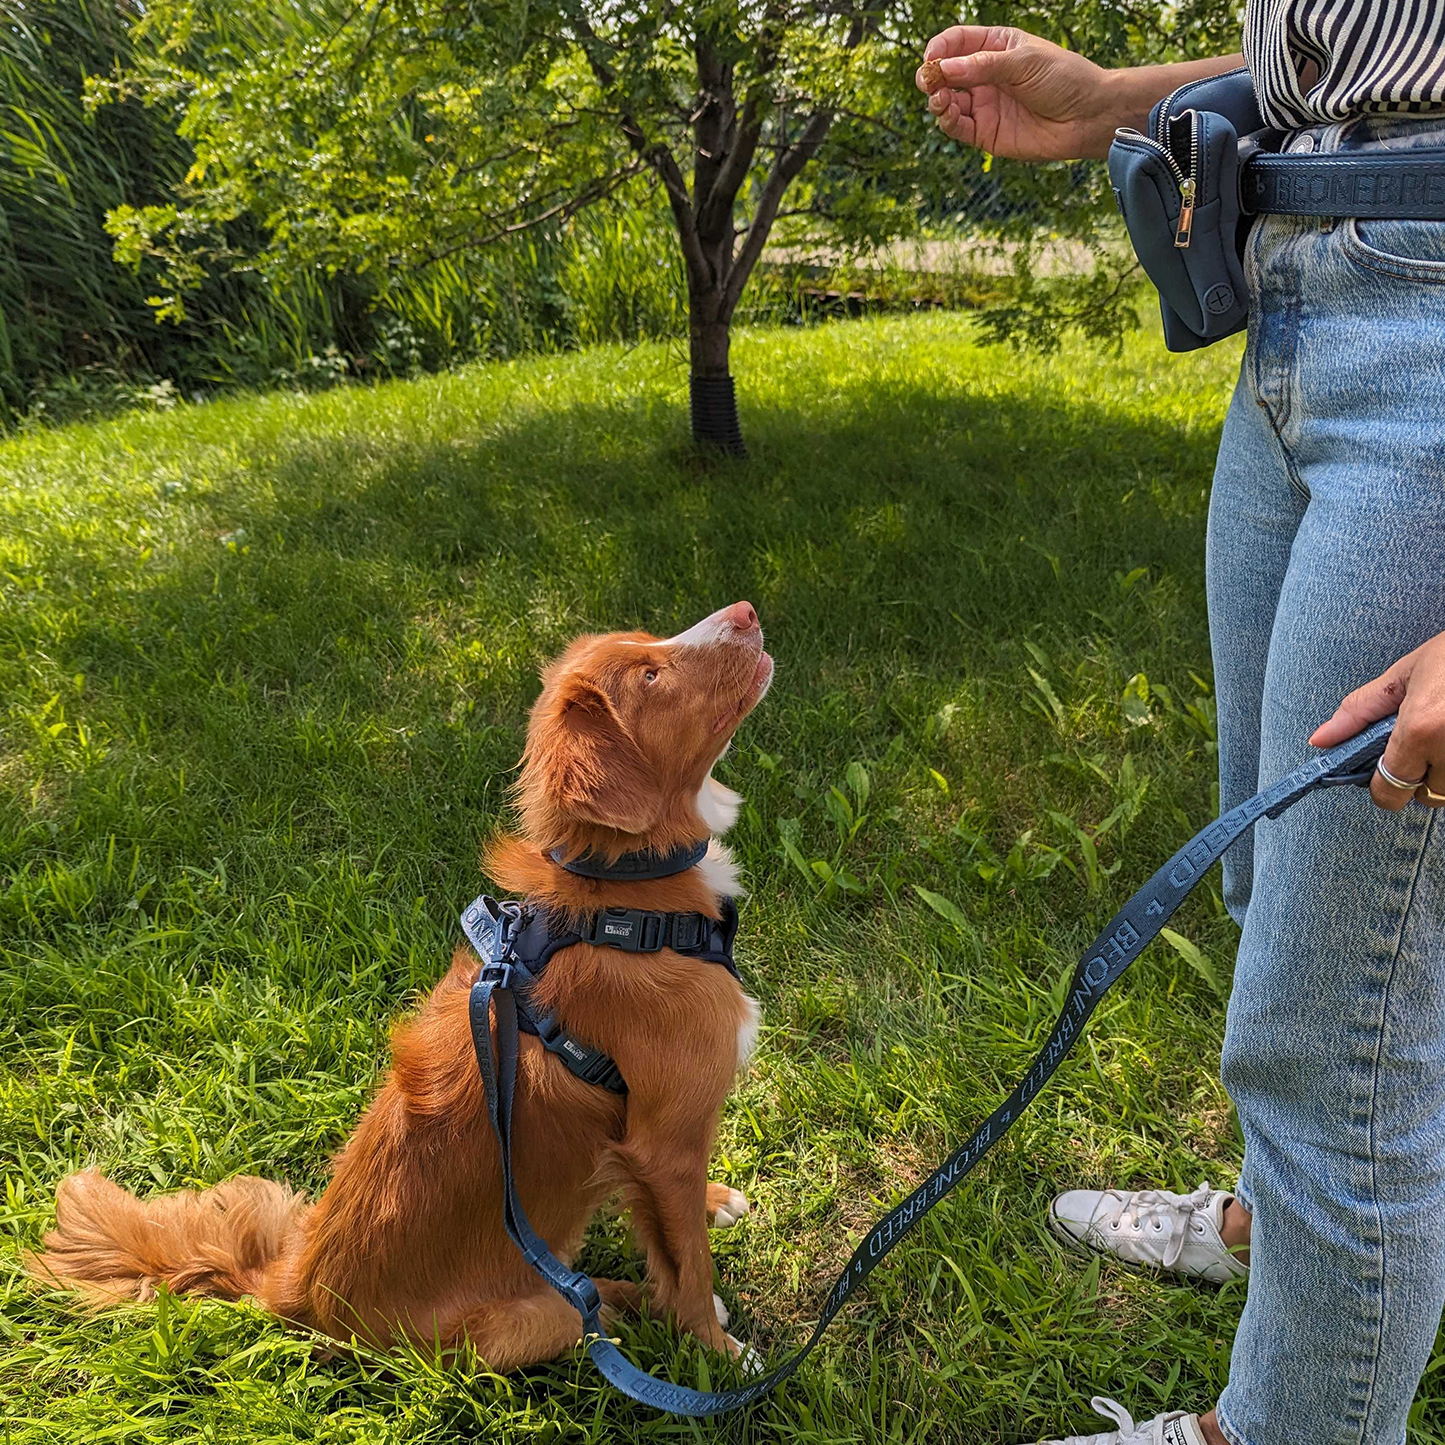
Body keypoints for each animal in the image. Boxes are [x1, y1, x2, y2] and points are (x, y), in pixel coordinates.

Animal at [28, 604, 774, 1369]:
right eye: (650, 675)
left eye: (651, 641)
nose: (746, 613)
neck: (627, 896)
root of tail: (296, 1290)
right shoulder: (662, 1140)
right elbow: (688, 1262)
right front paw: (717, 1350)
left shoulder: (658, 1147)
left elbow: (672, 1226)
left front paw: (713, 1205)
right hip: (521, 1327)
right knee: (587, 1307)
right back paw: (628, 1305)